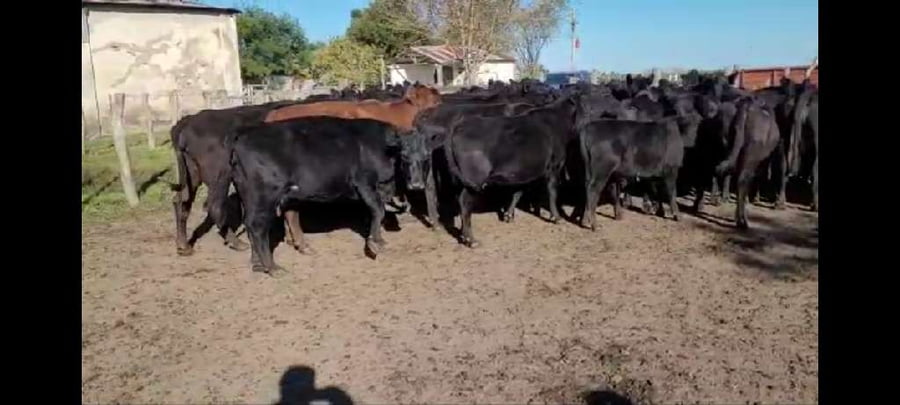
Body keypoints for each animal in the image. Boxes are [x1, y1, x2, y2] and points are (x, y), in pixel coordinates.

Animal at [208, 117, 403, 275]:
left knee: (251, 225)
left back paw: (258, 263)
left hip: (247, 195)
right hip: (265, 194)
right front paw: (377, 243)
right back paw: (273, 267)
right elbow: (378, 210)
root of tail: (245, 132)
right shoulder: (365, 182)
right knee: (256, 226)